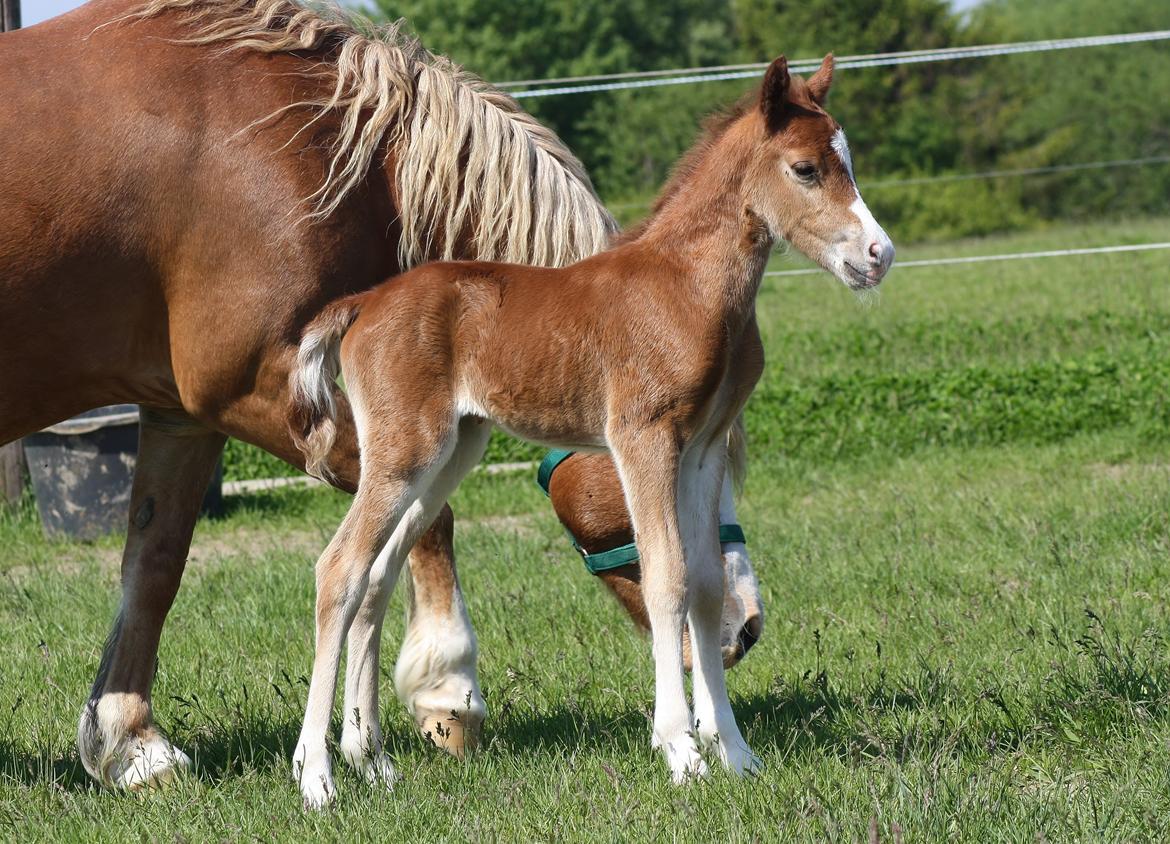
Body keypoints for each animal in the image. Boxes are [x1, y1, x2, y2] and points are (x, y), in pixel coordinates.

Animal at [0, 0, 767, 786]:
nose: (745, 626)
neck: (291, 132)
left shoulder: (183, 413)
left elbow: (154, 566)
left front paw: (132, 742)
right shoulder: (258, 389)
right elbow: (423, 529)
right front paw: (445, 691)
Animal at [287, 52, 889, 805]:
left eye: (850, 159)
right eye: (806, 168)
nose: (879, 254)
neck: (688, 285)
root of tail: (364, 303)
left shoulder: (702, 448)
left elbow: (706, 585)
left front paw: (736, 753)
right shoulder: (643, 437)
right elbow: (667, 577)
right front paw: (680, 749)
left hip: (452, 450)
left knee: (378, 575)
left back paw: (370, 758)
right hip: (406, 451)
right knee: (338, 569)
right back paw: (316, 776)